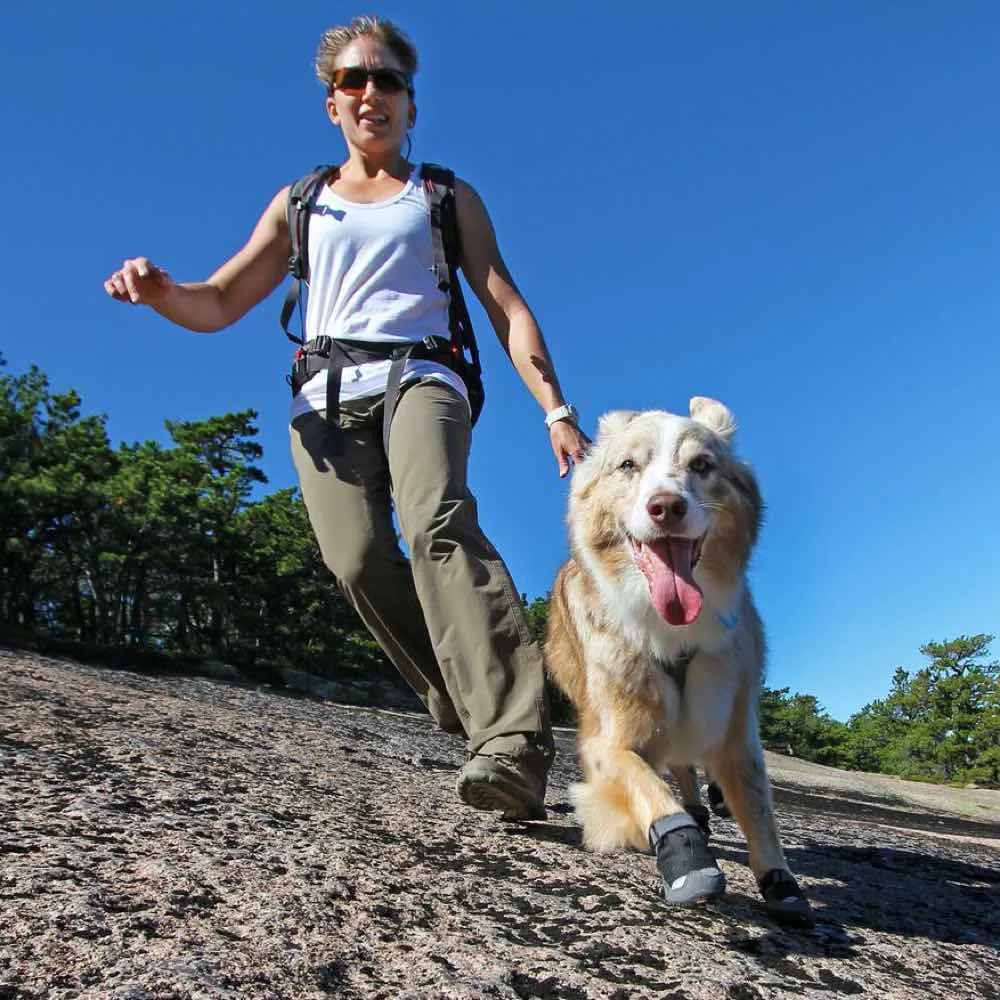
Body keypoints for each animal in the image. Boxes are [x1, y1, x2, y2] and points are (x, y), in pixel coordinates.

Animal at [548, 394, 812, 924]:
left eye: (702, 465)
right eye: (628, 465)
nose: (667, 506)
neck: (670, 628)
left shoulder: (734, 721)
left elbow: (758, 806)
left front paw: (779, 878)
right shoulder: (608, 739)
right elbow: (648, 785)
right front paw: (685, 856)